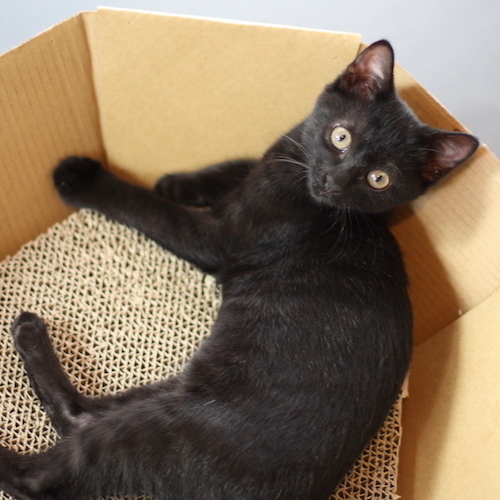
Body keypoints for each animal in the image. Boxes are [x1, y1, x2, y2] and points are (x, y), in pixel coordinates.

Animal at [0, 40, 478, 500]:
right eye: (340, 136)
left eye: (379, 179)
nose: (335, 181)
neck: (303, 189)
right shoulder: (275, 159)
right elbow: (239, 165)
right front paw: (178, 181)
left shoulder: (217, 238)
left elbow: (149, 209)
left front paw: (87, 180)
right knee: (84, 415)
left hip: (162, 425)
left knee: (57, 460)